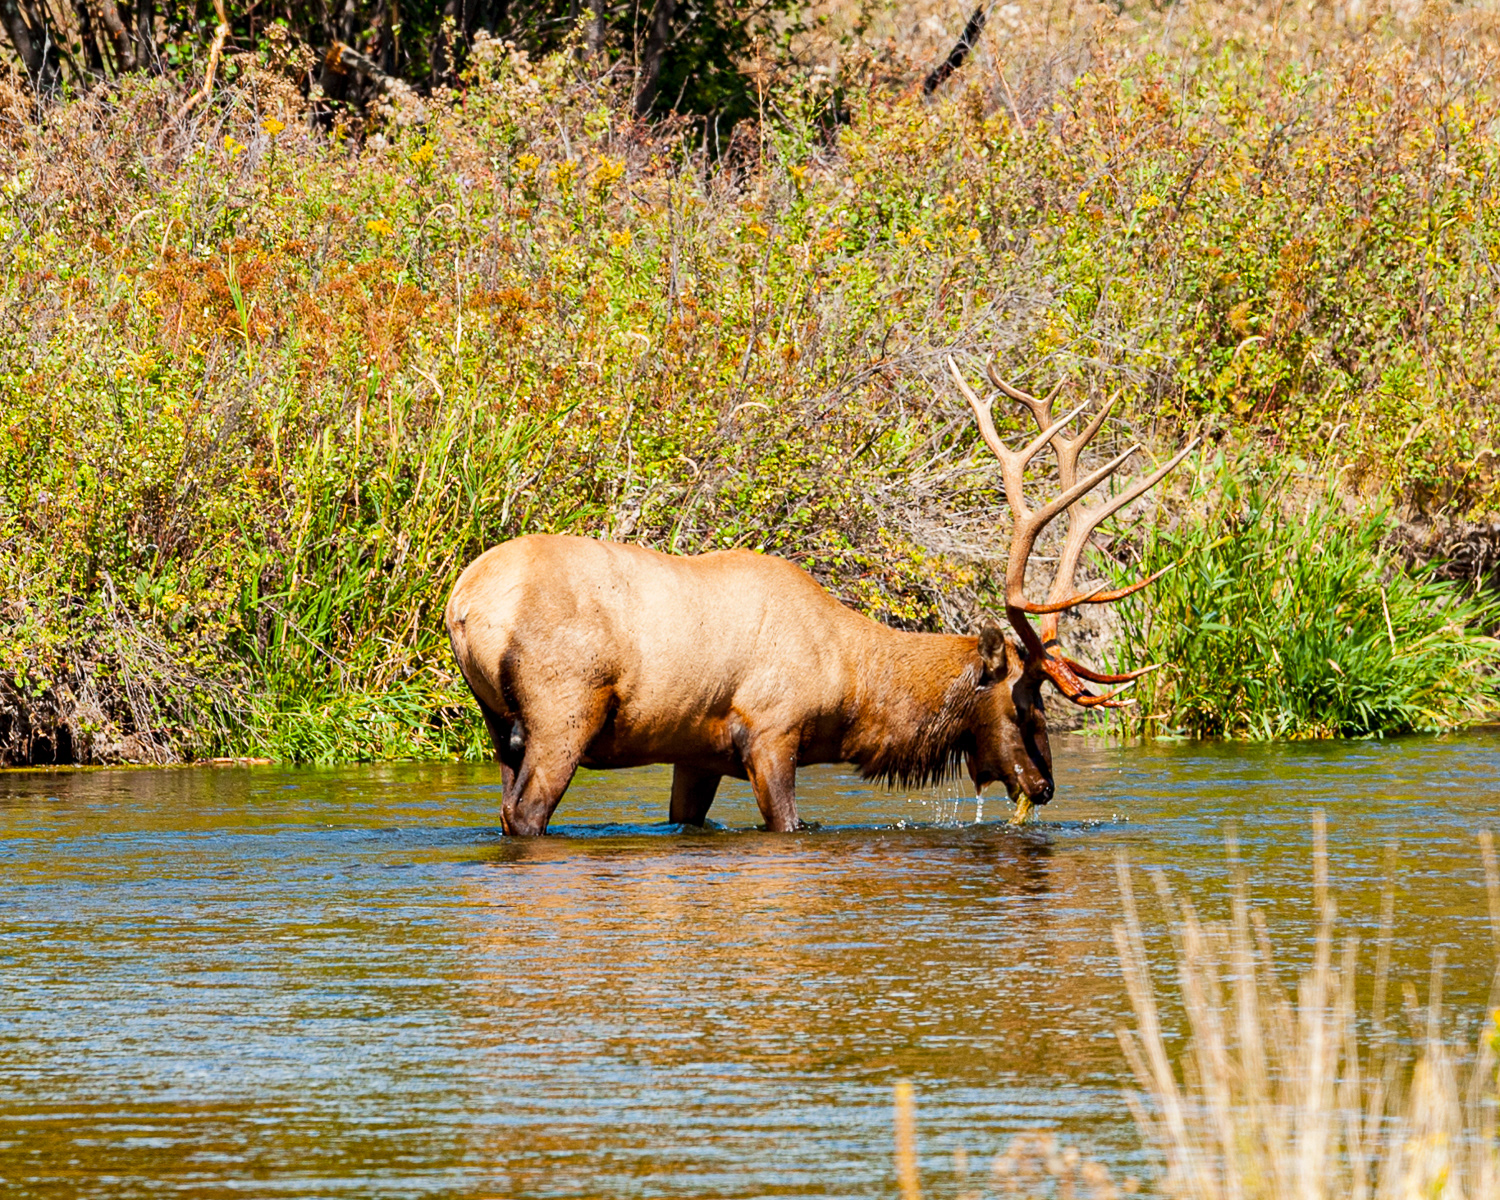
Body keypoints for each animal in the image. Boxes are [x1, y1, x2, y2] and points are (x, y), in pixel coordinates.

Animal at [444, 357, 1198, 835]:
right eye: (1026, 705)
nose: (1045, 788)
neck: (853, 686)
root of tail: (463, 607)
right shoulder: (771, 732)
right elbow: (790, 823)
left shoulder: (695, 750)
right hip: (564, 708)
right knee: (527, 817)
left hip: (500, 726)